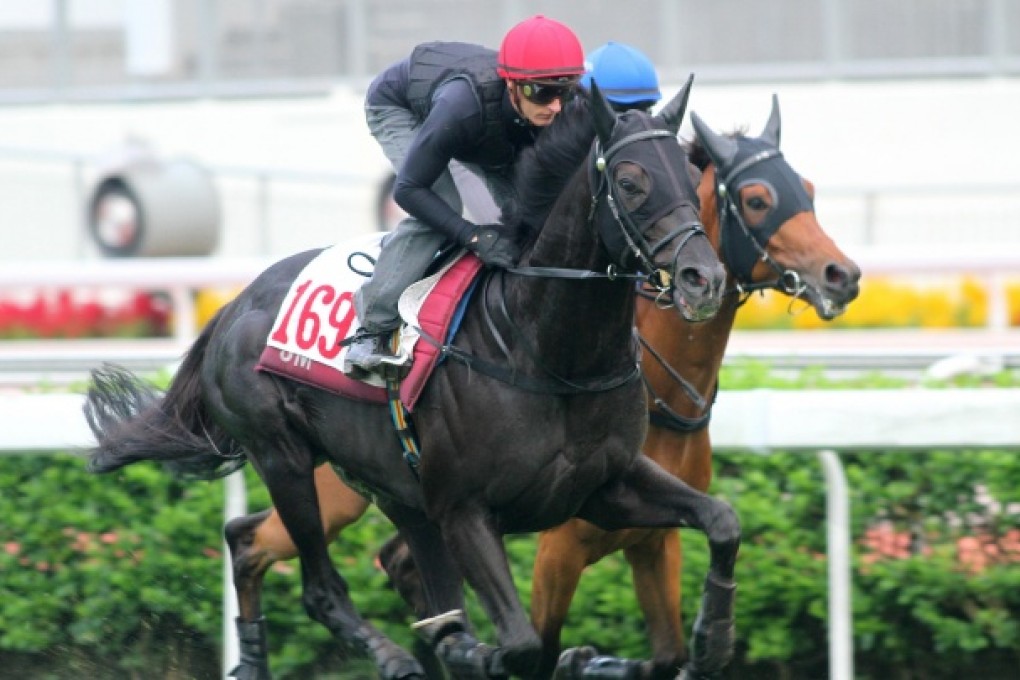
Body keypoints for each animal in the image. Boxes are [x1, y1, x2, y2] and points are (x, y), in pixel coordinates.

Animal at [85, 83, 742, 680]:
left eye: (692, 178)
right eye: (630, 182)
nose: (702, 278)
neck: (546, 353)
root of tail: (232, 306)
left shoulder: (602, 489)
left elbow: (720, 521)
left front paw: (711, 637)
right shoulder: (465, 509)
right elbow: (523, 645)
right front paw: (500, 653)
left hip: (394, 490)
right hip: (284, 458)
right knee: (315, 584)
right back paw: (392, 657)